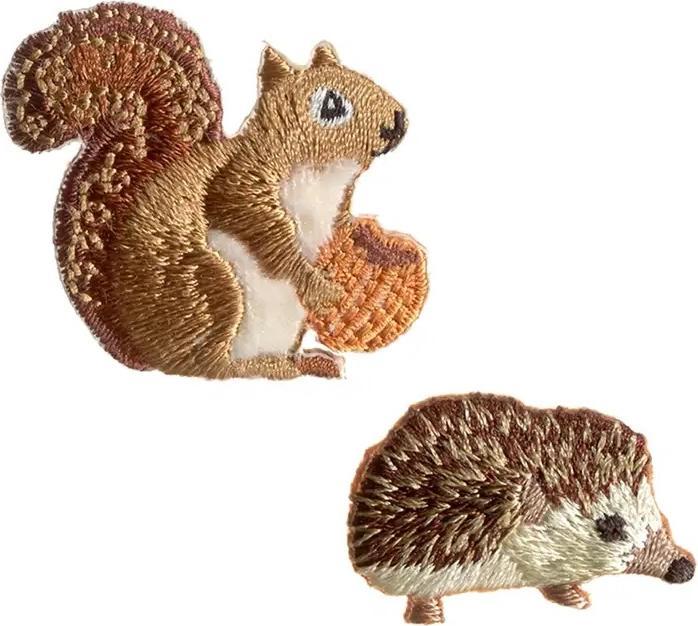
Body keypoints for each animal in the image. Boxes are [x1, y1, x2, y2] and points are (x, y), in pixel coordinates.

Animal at [3, 3, 407, 379]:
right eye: (332, 105)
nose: (398, 121)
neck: (321, 174)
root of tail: (149, 354)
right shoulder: (237, 184)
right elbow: (266, 235)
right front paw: (318, 286)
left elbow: (337, 229)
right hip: (212, 290)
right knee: (211, 366)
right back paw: (264, 366)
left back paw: (308, 362)